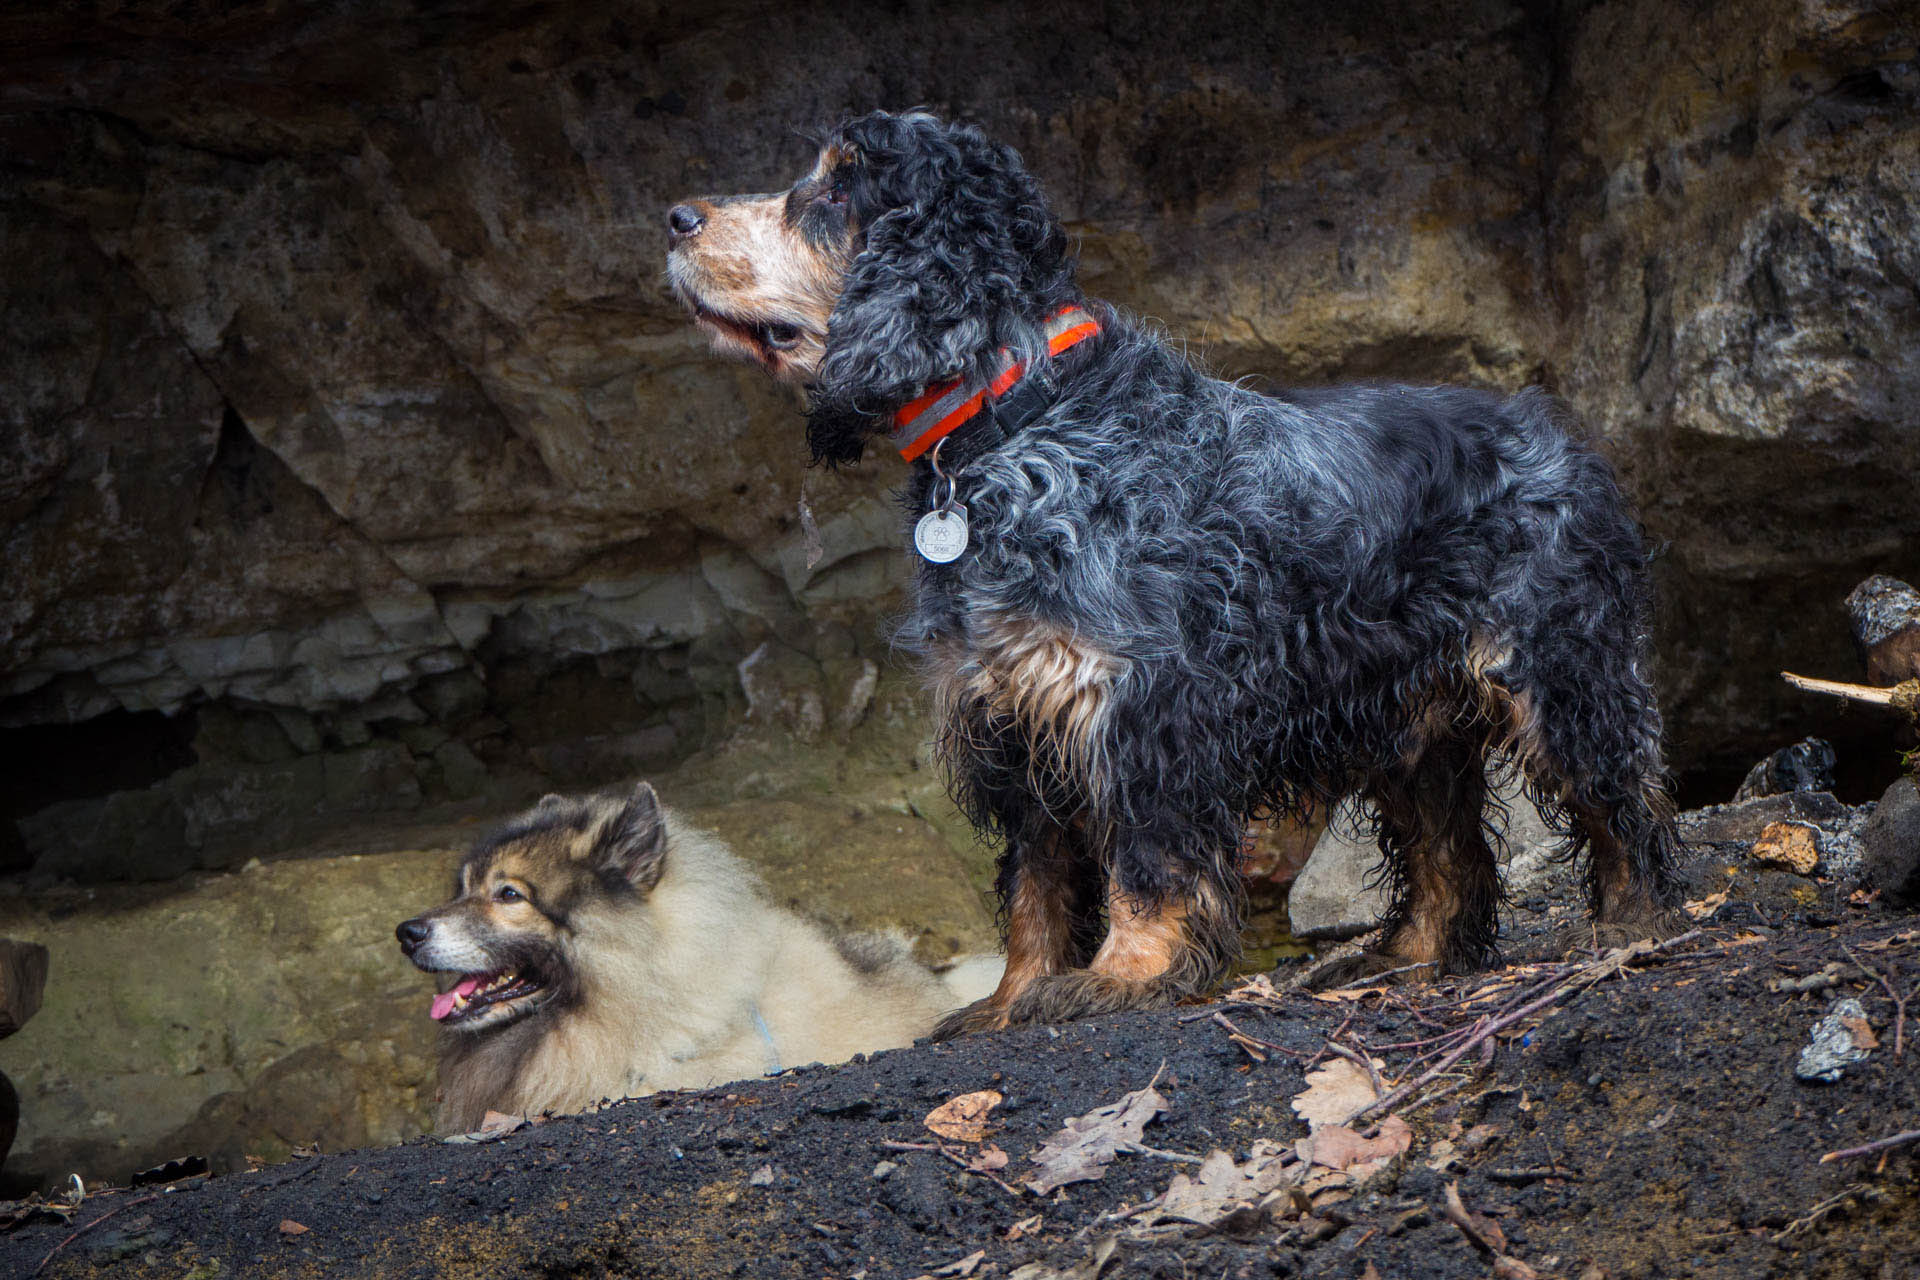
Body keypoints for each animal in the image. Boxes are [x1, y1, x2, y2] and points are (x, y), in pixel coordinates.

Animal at [664, 110, 1681, 1043]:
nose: (675, 216)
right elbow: (1035, 887)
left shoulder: (1144, 711)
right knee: (1449, 853)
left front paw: (1126, 977)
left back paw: (1629, 925)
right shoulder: (1019, 716)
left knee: (1621, 799)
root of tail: (1556, 432)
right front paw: (1010, 998)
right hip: (1409, 721)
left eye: (836, 190)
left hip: (1556, 670)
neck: (1021, 417)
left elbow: (1146, 865)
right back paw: (1406, 962)